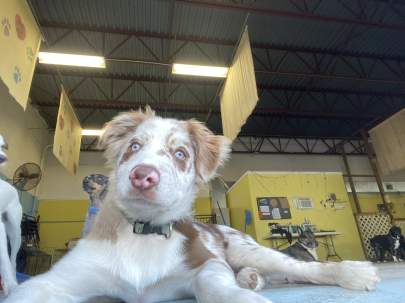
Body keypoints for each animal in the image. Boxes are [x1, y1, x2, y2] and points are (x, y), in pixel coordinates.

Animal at [4, 108, 380, 302]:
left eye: (181, 153)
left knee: (305, 269)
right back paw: (251, 278)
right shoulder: (58, 279)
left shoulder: (207, 264)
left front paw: (239, 296)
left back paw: (352, 273)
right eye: (133, 147)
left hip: (247, 249)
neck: (143, 232)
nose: (143, 176)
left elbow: (214, 284)